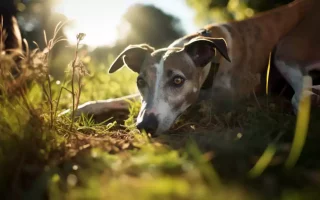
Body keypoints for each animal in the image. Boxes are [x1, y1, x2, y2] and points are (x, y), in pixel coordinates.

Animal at [73, 0, 318, 136]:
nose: (145, 125)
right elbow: (112, 100)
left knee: (302, 91)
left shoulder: (229, 97)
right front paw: (73, 111)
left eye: (178, 80)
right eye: (140, 81)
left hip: (287, 48)